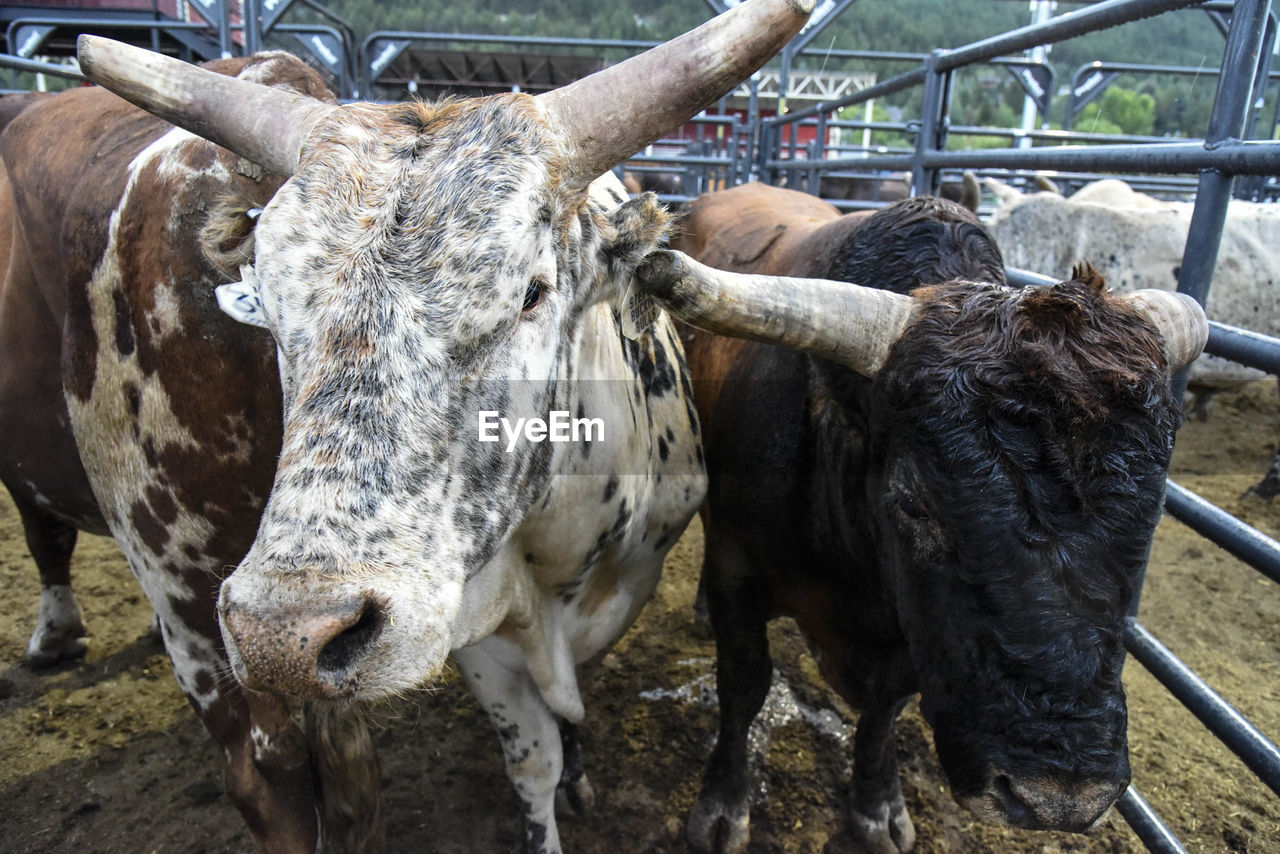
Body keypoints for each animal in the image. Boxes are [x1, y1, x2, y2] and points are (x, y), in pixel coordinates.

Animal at [0, 3, 814, 850]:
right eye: (271, 308)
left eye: (530, 292)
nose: (287, 635)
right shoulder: (476, 629)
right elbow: (534, 758)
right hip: (186, 596)